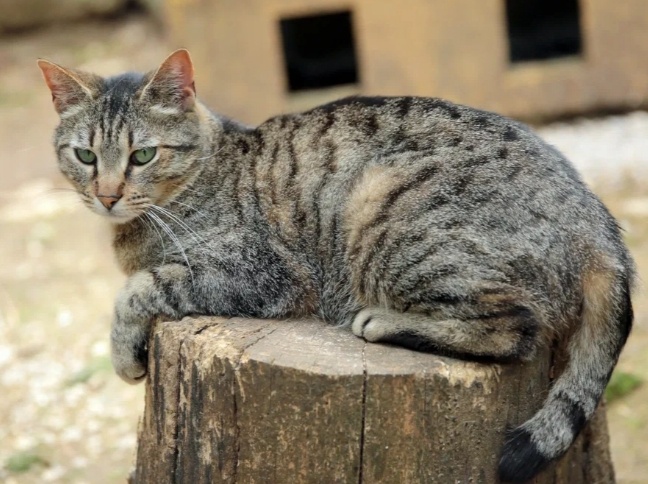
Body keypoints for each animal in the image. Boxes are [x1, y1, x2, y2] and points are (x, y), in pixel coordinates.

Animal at [39, 49, 632, 480]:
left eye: (143, 155)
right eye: (85, 156)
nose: (108, 195)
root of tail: (595, 216)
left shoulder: (258, 272)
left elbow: (139, 288)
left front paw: (124, 352)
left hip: (386, 211)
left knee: (516, 328)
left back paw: (384, 322)